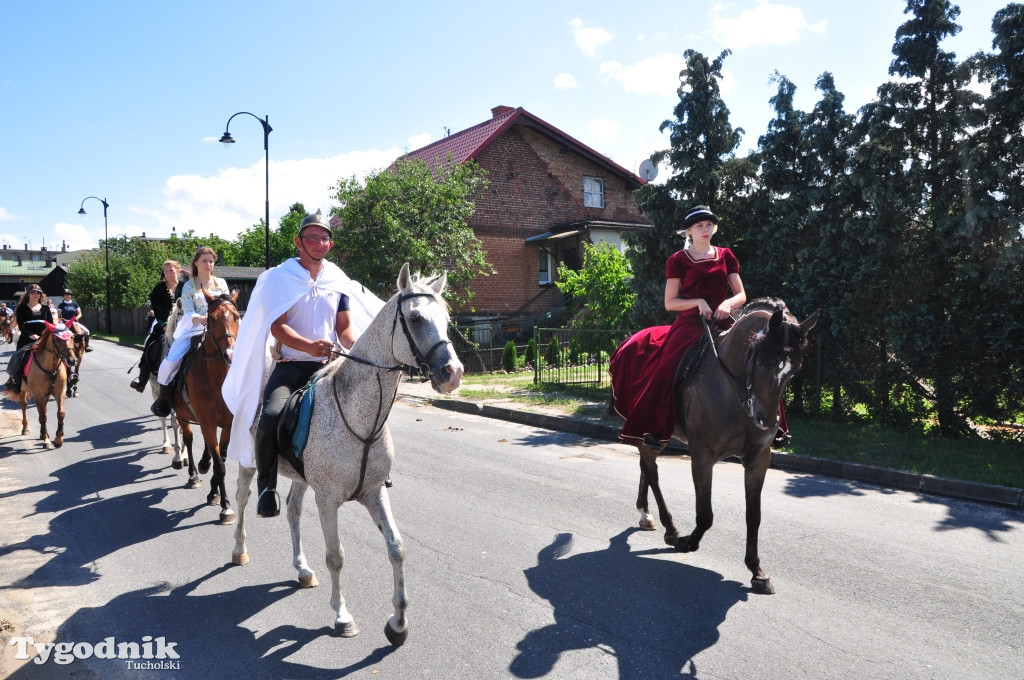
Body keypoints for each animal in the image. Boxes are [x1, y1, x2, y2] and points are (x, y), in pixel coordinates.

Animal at [169, 288, 239, 522]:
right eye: (212, 319)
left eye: (236, 317)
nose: (230, 354)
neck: (217, 379)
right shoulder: (207, 422)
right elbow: (219, 465)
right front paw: (226, 506)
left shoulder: (227, 424)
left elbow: (221, 459)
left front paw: (215, 493)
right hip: (182, 415)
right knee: (188, 440)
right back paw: (193, 474)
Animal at [232, 262, 464, 647]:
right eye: (415, 318)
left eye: (446, 319)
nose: (453, 373)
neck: (359, 417)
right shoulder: (328, 500)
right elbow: (336, 557)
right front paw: (342, 616)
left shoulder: (373, 492)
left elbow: (396, 547)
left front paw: (398, 623)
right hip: (248, 463)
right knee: (242, 498)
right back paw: (239, 550)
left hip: (301, 478)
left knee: (293, 510)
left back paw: (303, 569)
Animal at [610, 299, 819, 593]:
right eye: (762, 362)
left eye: (794, 370)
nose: (766, 422)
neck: (736, 389)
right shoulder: (702, 455)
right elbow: (705, 514)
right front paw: (688, 542)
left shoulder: (759, 459)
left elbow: (754, 516)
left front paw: (757, 571)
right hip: (644, 426)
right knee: (651, 469)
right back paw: (670, 528)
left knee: (645, 465)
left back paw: (645, 514)